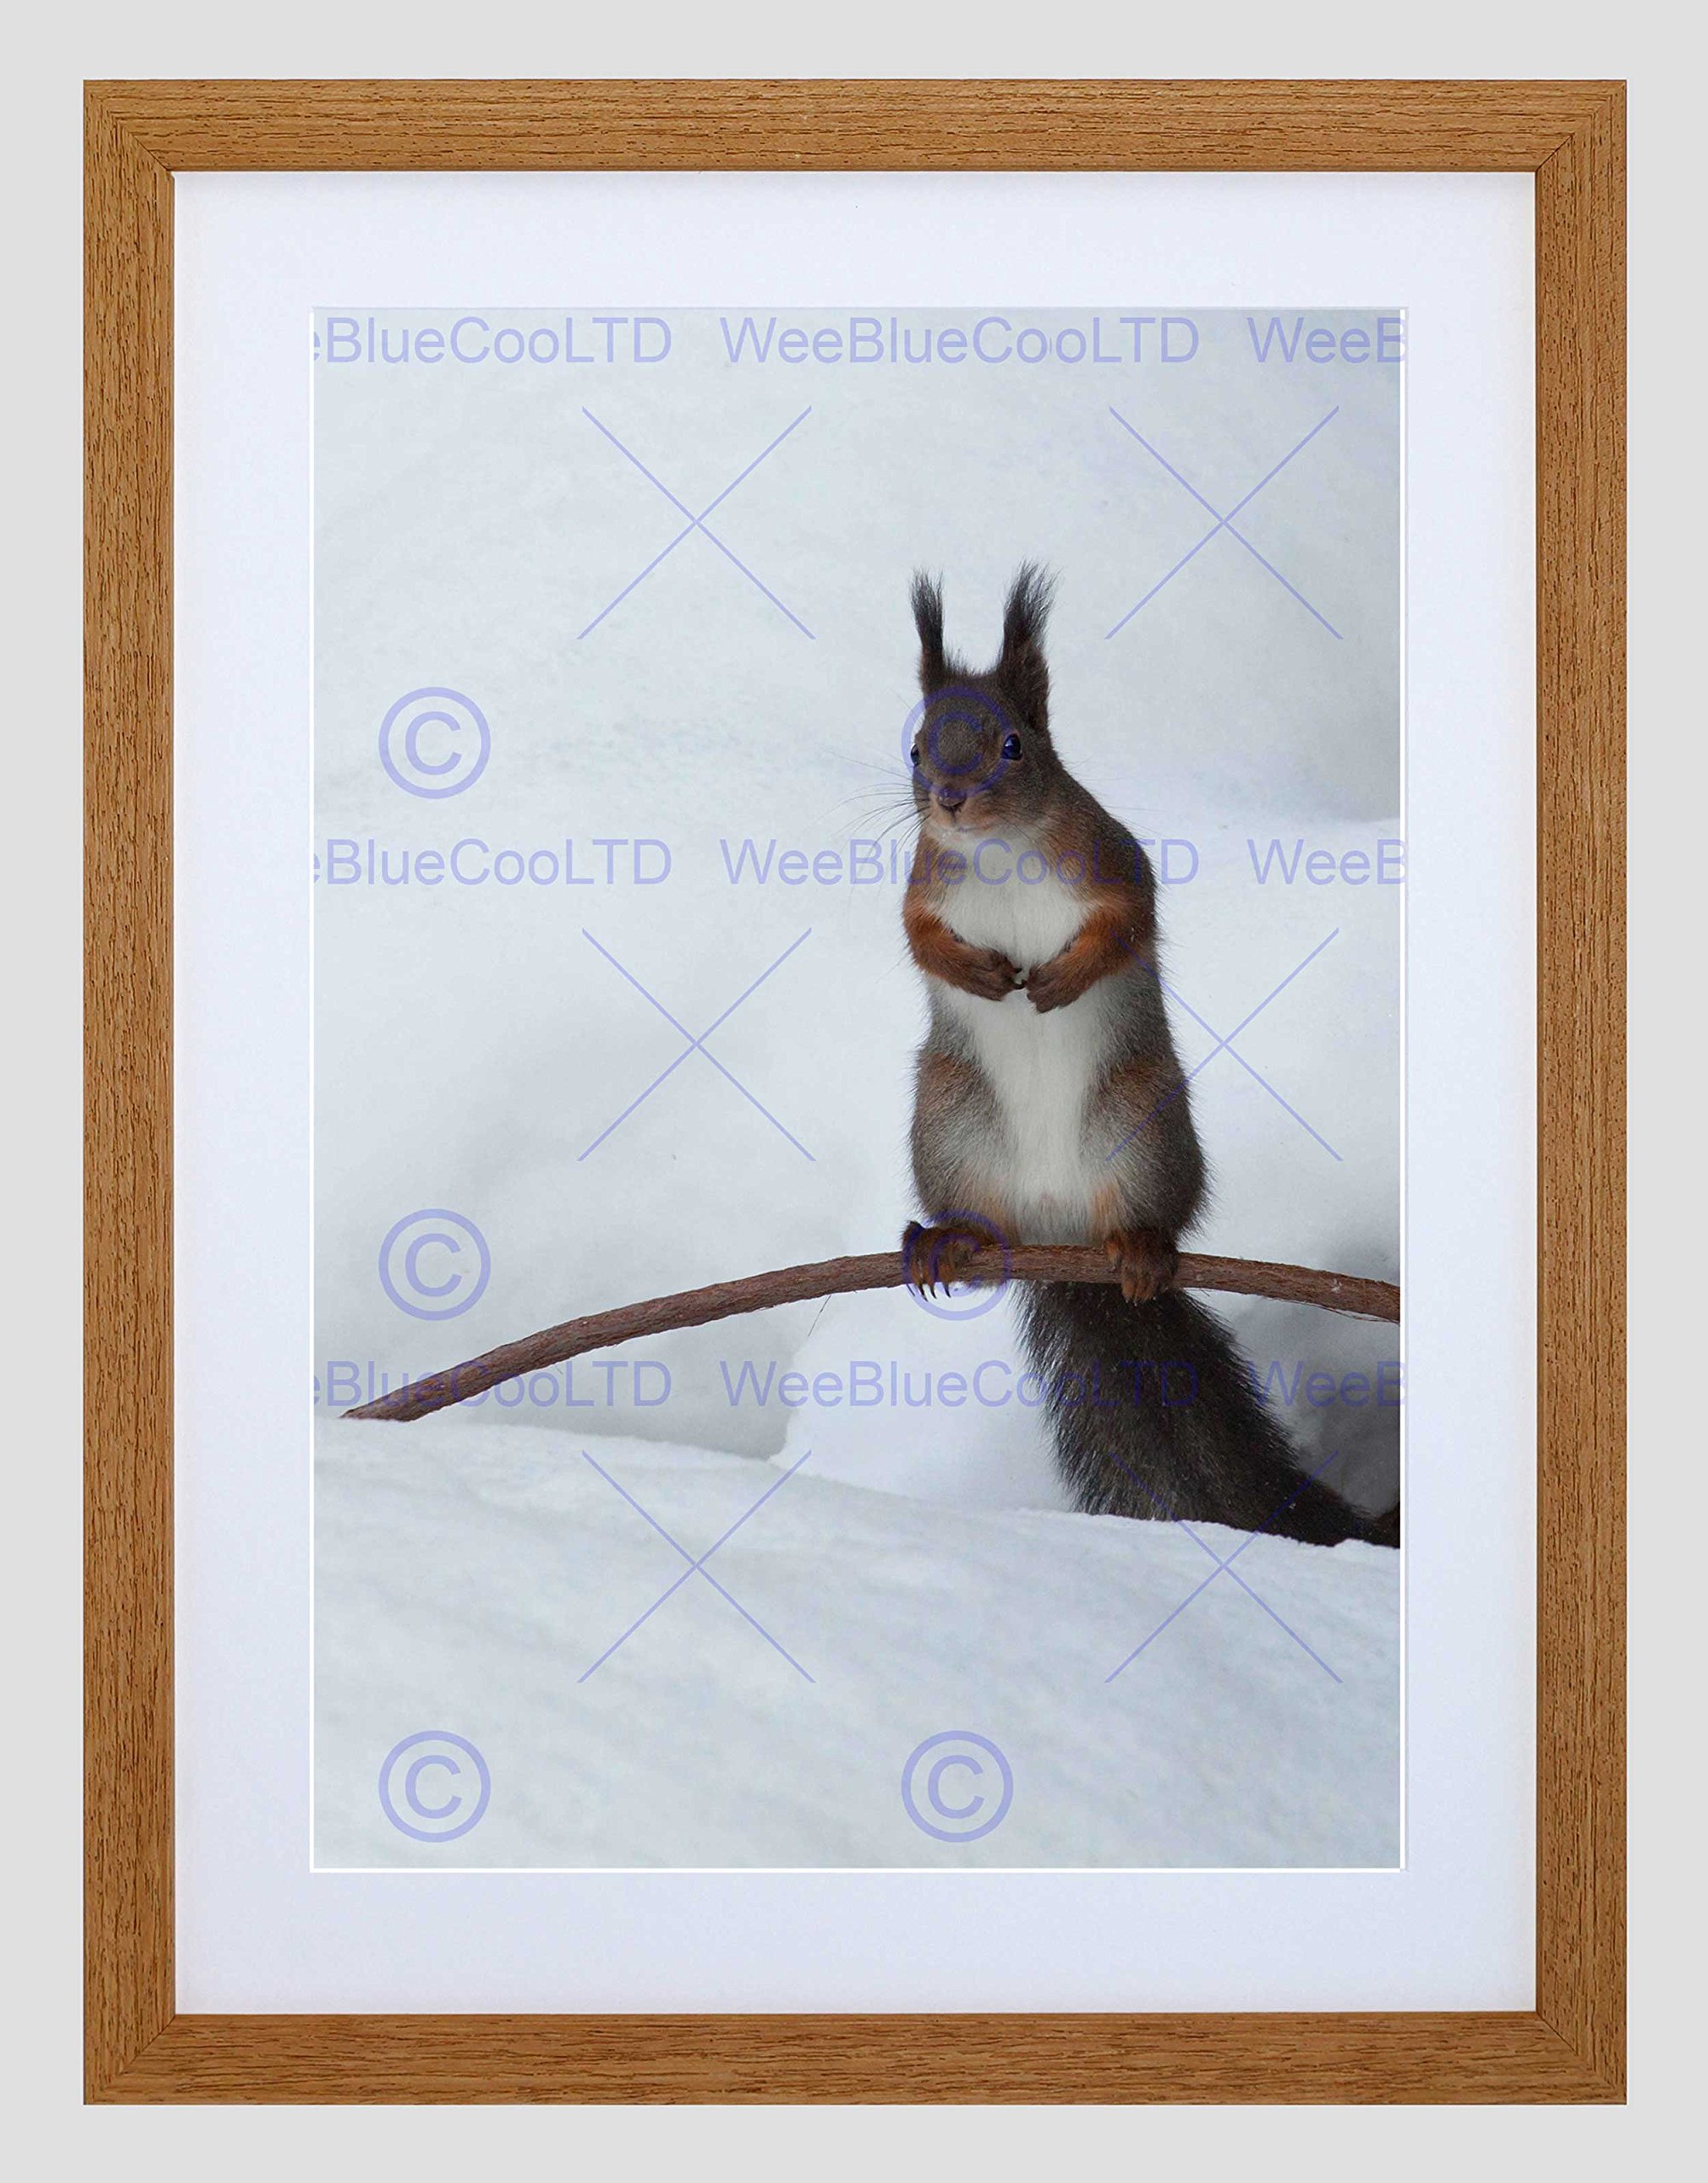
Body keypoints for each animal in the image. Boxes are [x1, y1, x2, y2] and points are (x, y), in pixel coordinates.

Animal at [899, 565, 1398, 1549]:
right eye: (914, 749)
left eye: (1013, 745)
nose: (948, 798)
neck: (998, 851)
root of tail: (1058, 1234)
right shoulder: (920, 883)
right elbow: (918, 939)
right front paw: (975, 972)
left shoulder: (1110, 859)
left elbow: (1130, 919)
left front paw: (1061, 980)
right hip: (947, 1126)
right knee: (975, 1214)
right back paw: (948, 1239)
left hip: (1142, 1125)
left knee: (1153, 1212)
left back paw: (1138, 1248)